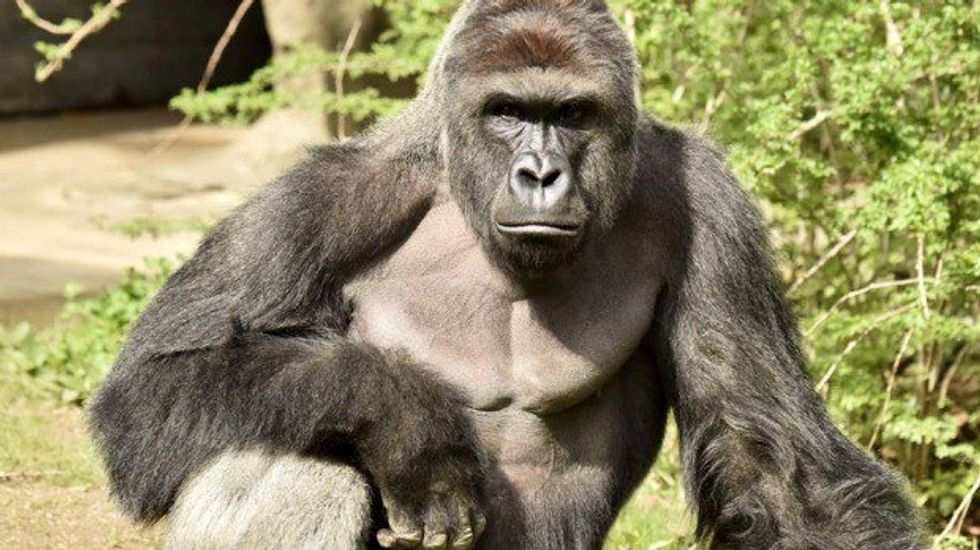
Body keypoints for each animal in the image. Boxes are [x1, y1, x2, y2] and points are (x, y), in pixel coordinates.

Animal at [89, 1, 924, 548]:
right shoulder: (319, 201)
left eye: (573, 114)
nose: (541, 173)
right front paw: (405, 417)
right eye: (507, 111)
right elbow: (147, 391)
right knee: (290, 453)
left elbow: (773, 463)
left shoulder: (711, 211)